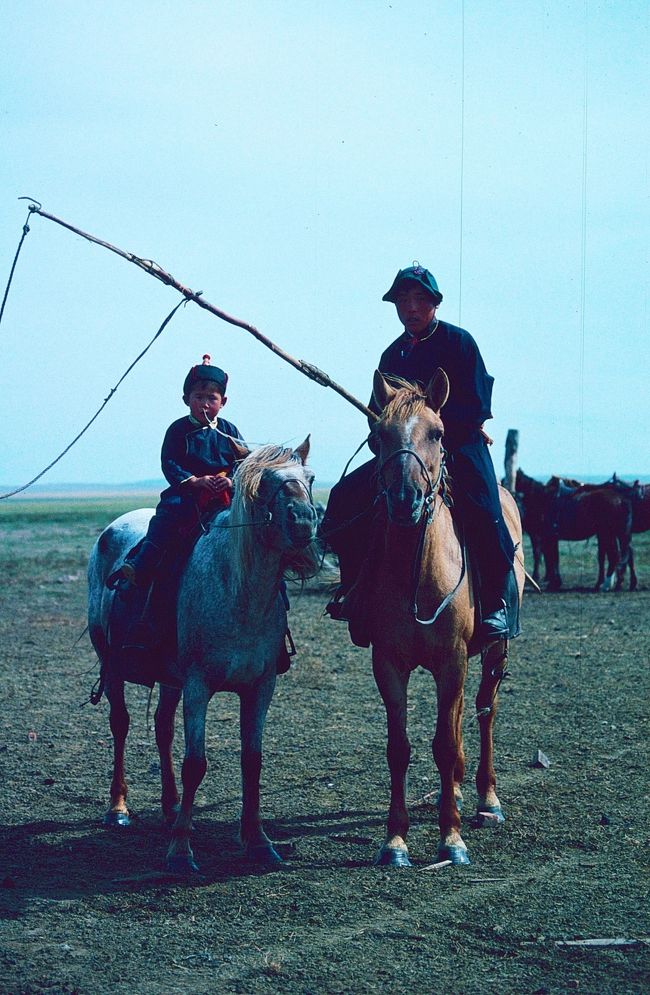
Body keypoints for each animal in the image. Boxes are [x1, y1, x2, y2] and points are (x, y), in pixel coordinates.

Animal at [87, 438, 318, 872]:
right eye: (264, 483)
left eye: (309, 478)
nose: (303, 522)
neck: (239, 591)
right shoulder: (198, 686)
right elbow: (195, 764)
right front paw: (180, 852)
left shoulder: (260, 687)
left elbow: (252, 760)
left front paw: (258, 842)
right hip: (113, 666)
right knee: (121, 725)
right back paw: (119, 808)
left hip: (169, 678)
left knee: (162, 727)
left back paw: (172, 808)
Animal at [362, 370, 524, 868]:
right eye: (378, 435)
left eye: (437, 433)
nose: (404, 499)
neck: (420, 573)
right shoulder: (388, 663)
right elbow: (400, 747)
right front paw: (395, 841)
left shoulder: (452, 661)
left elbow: (445, 742)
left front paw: (451, 838)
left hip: (495, 650)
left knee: (485, 710)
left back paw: (487, 800)